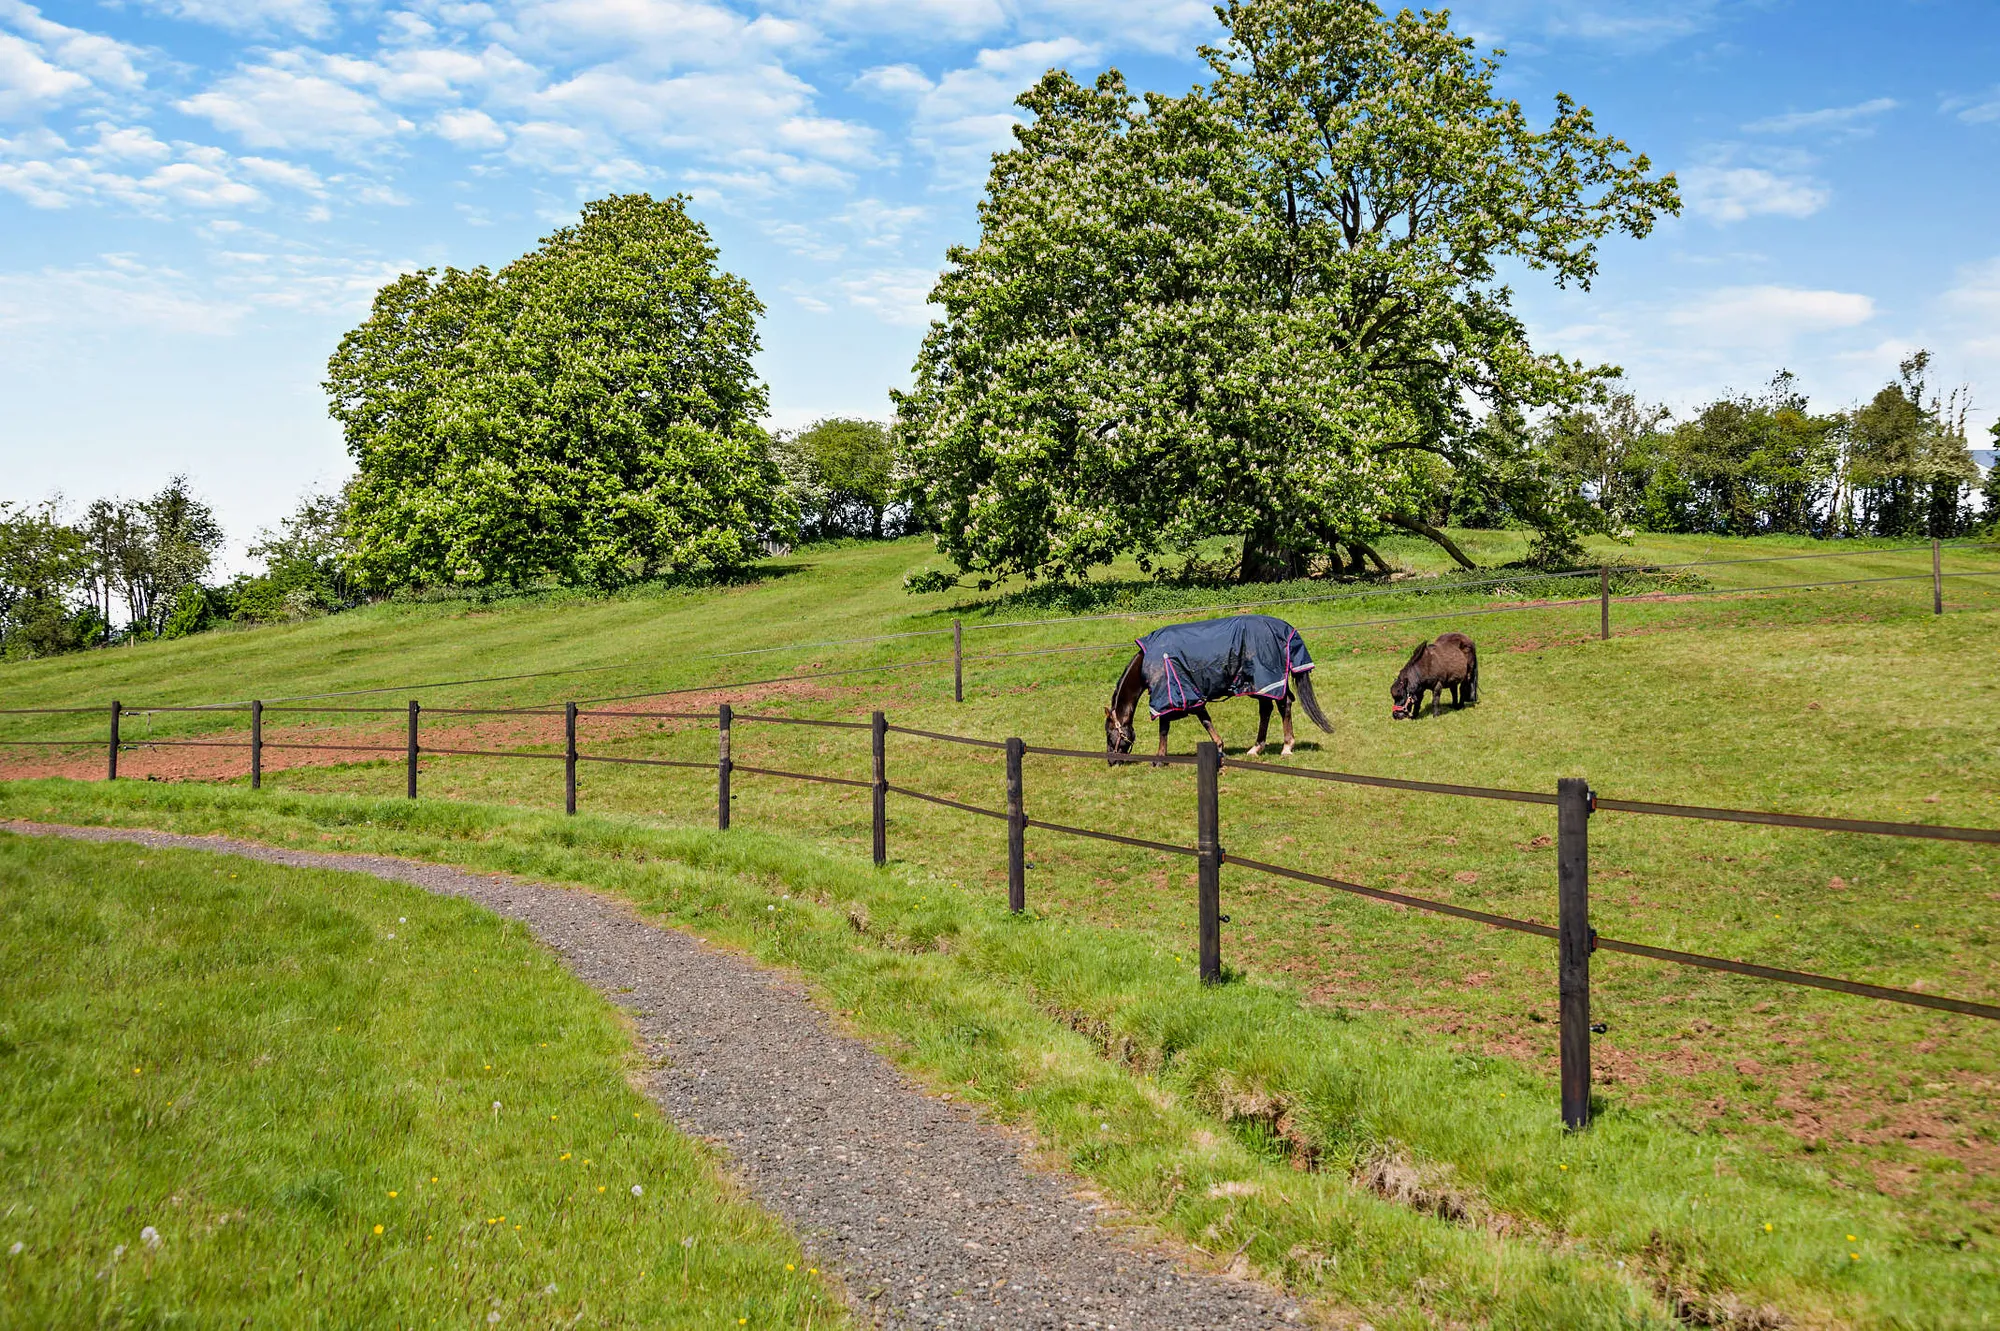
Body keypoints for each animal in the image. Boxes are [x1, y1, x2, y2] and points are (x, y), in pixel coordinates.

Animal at [1112, 607, 1328, 755]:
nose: (1112, 761)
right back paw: (1256, 748)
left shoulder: (1172, 696)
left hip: (1267, 681)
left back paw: (1286, 747)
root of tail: (1287, 629)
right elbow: (1204, 720)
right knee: (1268, 709)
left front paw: (1160, 758)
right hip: (1258, 685)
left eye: (1109, 732)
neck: (1152, 659)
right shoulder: (1187, 697)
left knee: (1284, 704)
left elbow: (1167, 727)